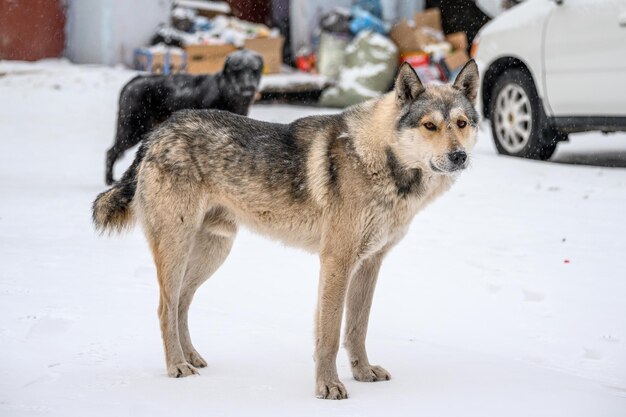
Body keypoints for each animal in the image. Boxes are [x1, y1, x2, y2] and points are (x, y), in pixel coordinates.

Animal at [106, 48, 262, 184]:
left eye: (254, 70)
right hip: (133, 130)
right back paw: (109, 180)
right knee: (111, 152)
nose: (248, 87)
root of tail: (133, 81)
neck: (225, 90)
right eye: (237, 70)